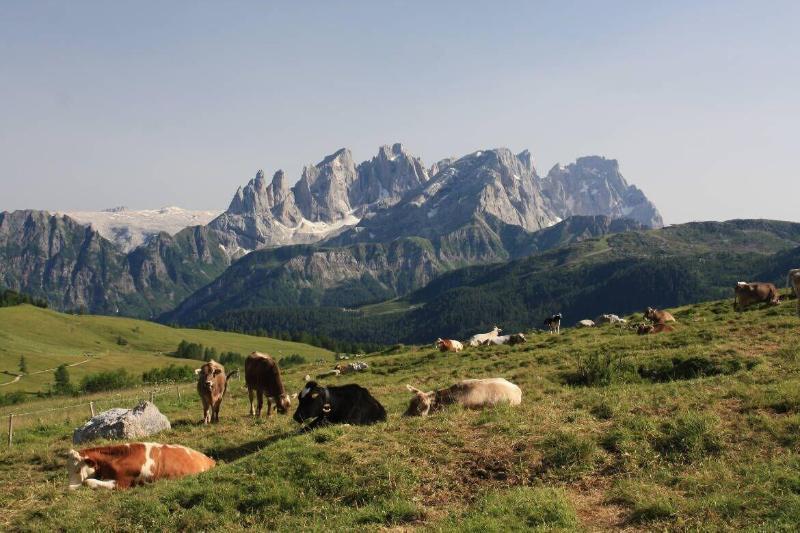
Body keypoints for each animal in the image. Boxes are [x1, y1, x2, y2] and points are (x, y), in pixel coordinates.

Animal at [66, 440, 216, 490]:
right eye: (68, 470)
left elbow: (88, 481)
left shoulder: (122, 483)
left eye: (78, 469)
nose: (69, 486)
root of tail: (210, 460)